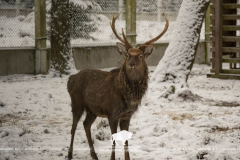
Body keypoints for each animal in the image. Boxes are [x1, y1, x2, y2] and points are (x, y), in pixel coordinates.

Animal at [67, 12, 169, 160]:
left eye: (140, 56)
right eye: (127, 55)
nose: (131, 64)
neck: (129, 96)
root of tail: (70, 79)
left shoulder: (127, 116)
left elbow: (126, 141)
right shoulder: (112, 113)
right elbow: (114, 140)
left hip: (92, 109)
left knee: (85, 124)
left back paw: (94, 155)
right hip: (77, 103)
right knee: (73, 126)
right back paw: (69, 154)